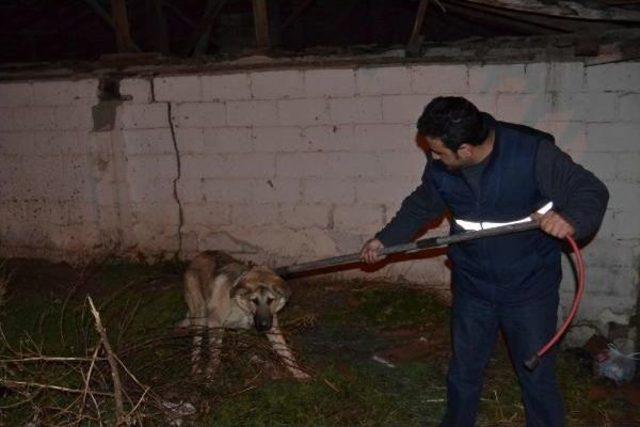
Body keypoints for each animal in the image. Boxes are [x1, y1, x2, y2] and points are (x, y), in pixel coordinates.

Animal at [180, 251, 310, 382]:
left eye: (270, 300)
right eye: (254, 300)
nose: (264, 326)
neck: (244, 309)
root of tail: (199, 256)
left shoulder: (273, 329)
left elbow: (287, 353)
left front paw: (299, 373)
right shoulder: (215, 323)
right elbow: (215, 354)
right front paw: (211, 375)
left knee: (243, 346)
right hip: (199, 317)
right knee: (196, 345)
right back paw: (195, 369)